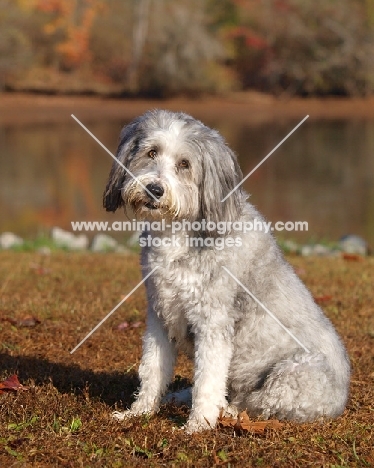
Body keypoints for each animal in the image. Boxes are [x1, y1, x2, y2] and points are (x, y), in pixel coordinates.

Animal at [103, 108, 350, 434]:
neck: (181, 233)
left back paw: (227, 411)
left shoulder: (213, 321)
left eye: (184, 164)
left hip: (293, 374)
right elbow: (152, 369)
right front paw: (139, 412)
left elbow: (208, 379)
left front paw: (198, 425)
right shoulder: (160, 316)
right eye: (151, 152)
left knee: (259, 403)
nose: (154, 190)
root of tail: (341, 400)